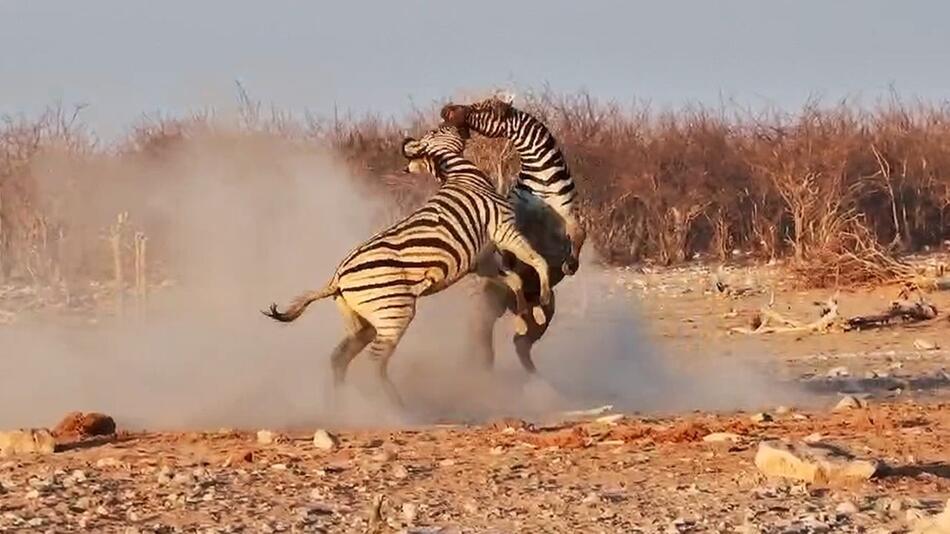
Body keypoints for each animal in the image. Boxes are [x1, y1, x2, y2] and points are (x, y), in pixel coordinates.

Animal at [264, 124, 556, 410]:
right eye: (440, 129)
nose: (459, 121)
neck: (463, 176)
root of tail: (337, 278)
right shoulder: (503, 229)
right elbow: (537, 261)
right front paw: (542, 300)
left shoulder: (479, 261)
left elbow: (515, 280)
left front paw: (523, 315)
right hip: (394, 315)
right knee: (373, 364)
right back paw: (394, 409)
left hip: (364, 323)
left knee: (339, 357)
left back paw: (339, 406)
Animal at [440, 96, 588, 378]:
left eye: (483, 108)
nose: (445, 110)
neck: (541, 175)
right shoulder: (516, 214)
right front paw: (509, 260)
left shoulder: (569, 213)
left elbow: (579, 233)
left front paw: (570, 264)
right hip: (490, 304)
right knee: (485, 337)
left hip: (546, 309)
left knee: (522, 341)